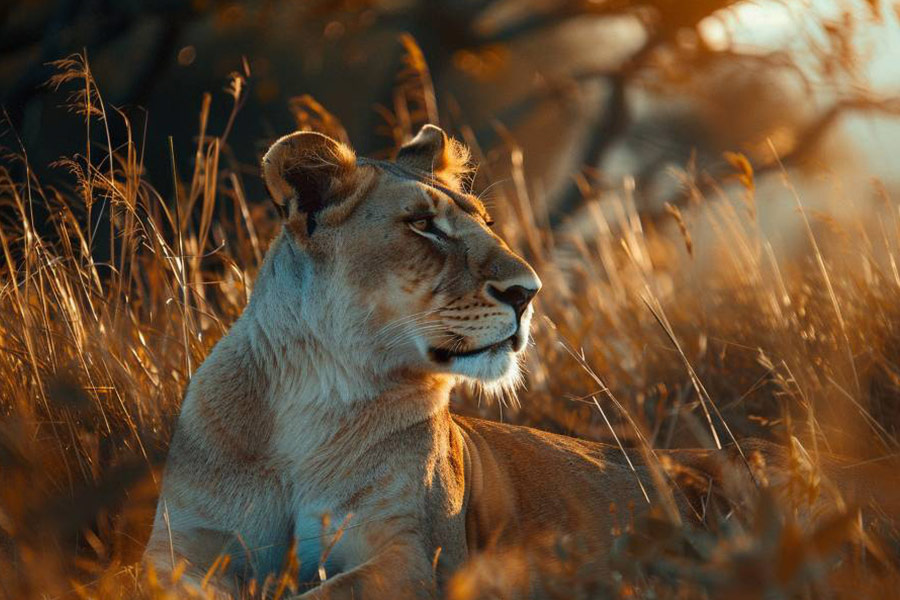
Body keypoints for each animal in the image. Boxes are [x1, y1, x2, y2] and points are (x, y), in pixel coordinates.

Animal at [144, 125, 891, 599]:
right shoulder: (181, 550)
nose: (528, 291)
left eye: (483, 219)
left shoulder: (409, 556)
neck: (314, 399)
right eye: (422, 225)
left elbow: (324, 594)